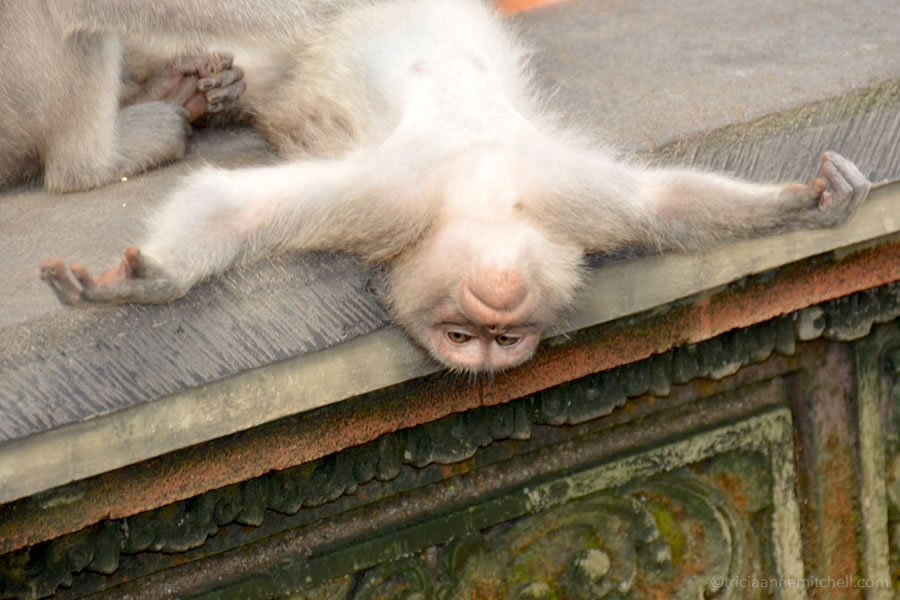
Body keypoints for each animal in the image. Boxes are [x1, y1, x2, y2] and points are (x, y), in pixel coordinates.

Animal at [40, 0, 872, 373]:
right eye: (463, 337)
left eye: (504, 340)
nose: (480, 360)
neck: (482, 192)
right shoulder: (386, 202)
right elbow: (237, 206)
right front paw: (142, 283)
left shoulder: (573, 199)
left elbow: (656, 202)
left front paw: (803, 203)